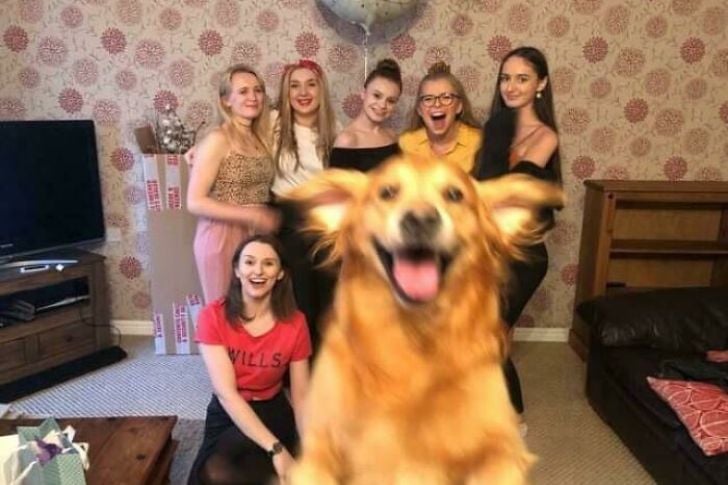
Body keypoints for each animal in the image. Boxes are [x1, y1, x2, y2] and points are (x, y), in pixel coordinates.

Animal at [286, 155, 564, 484]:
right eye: (387, 192)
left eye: (455, 194)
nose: (420, 219)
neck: (415, 337)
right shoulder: (320, 446)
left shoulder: (500, 448)